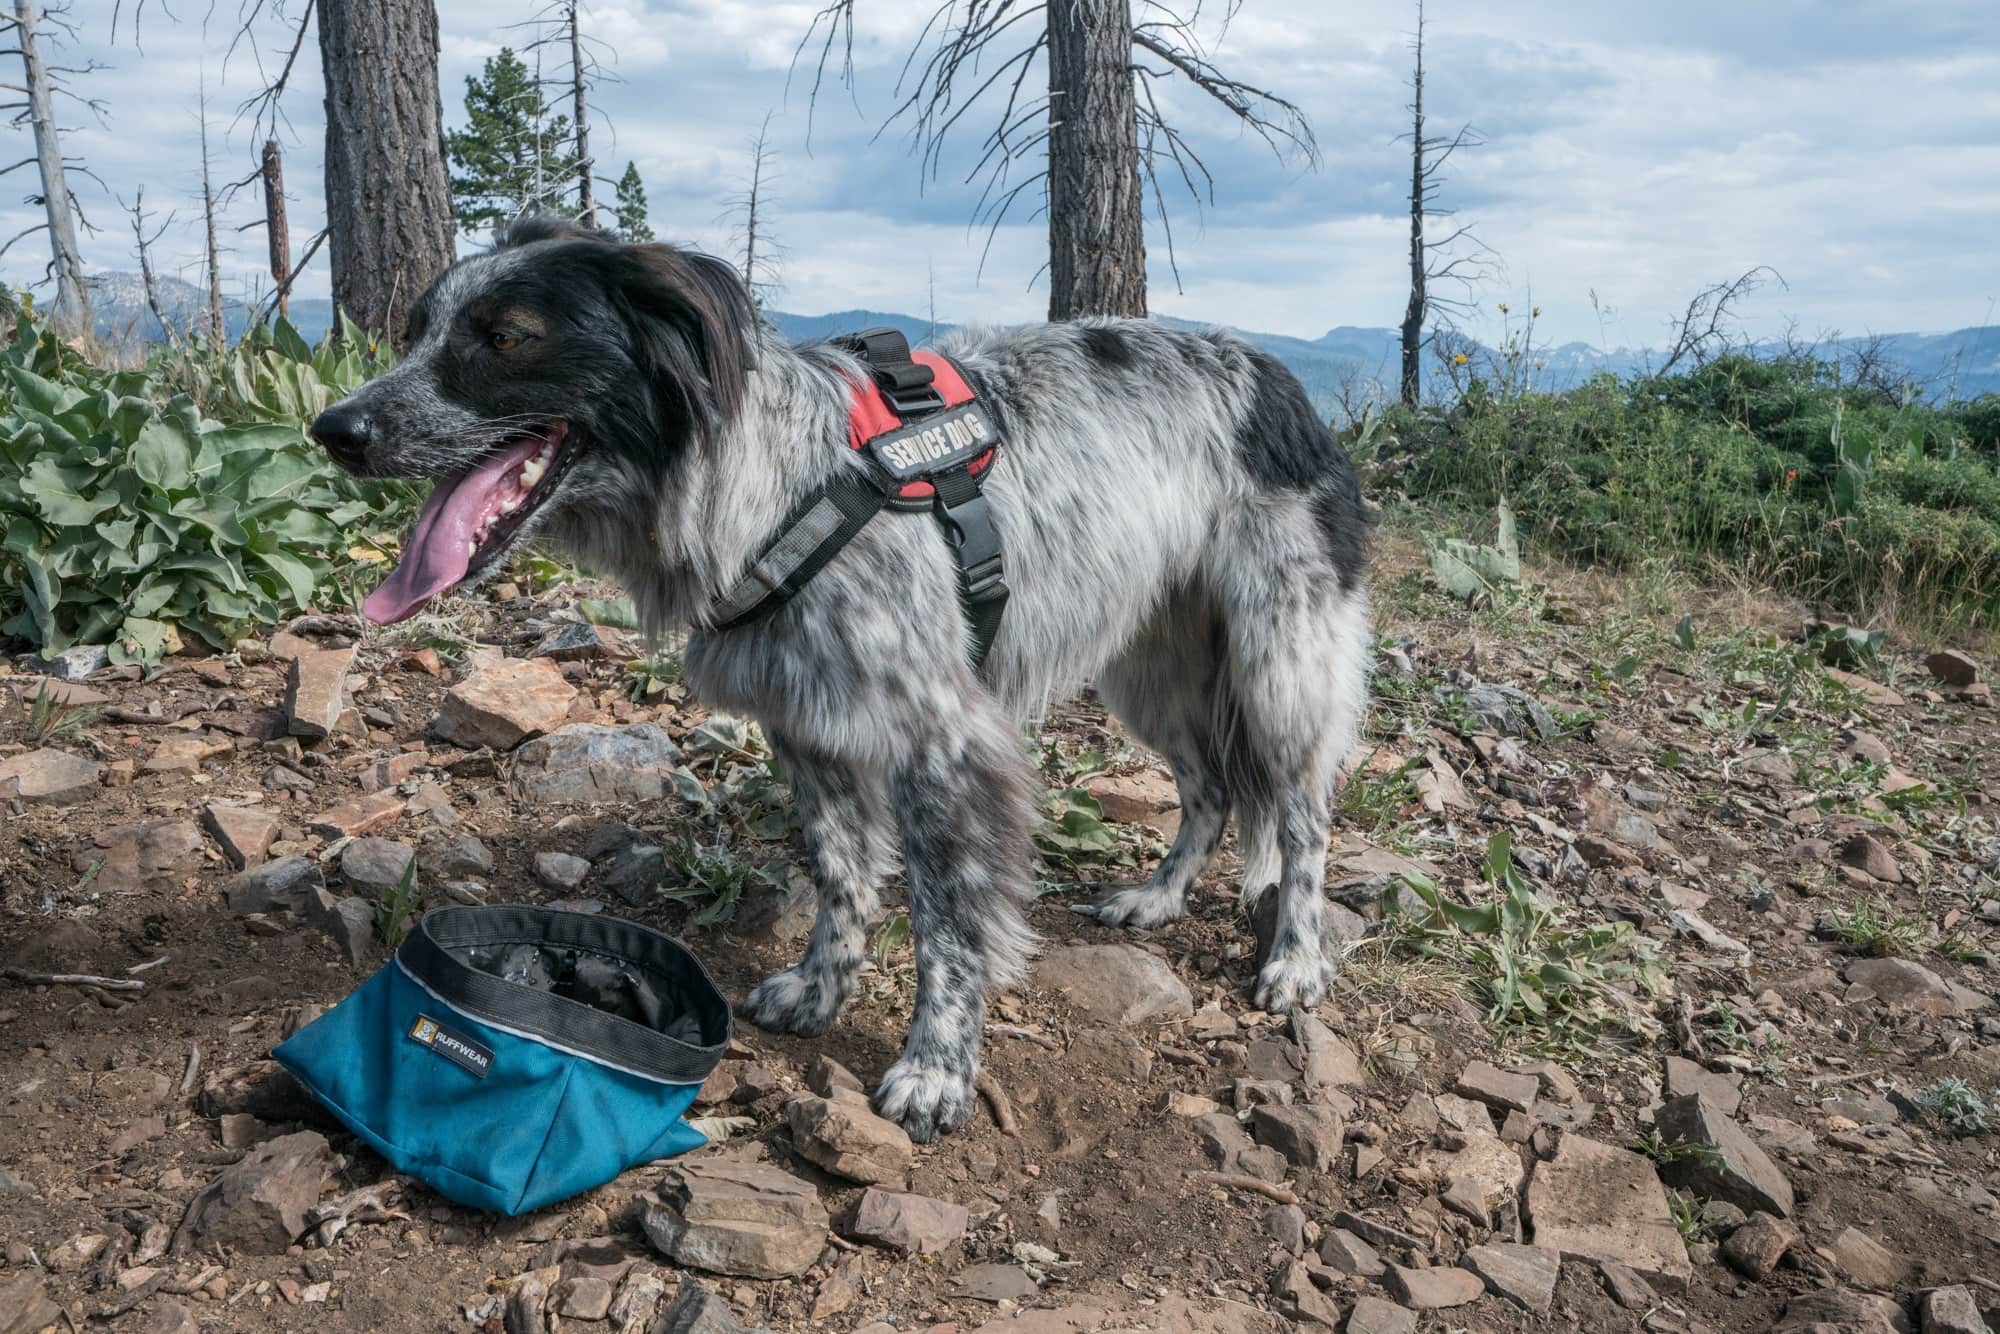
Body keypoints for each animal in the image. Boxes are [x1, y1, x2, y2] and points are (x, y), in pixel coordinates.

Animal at [312, 224, 1376, 1144]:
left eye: (507, 337)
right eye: (415, 332)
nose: (334, 429)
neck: (780, 489)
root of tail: (1277, 375)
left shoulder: (941, 745)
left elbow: (946, 929)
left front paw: (936, 1069)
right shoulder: (809, 726)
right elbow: (840, 879)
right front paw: (824, 991)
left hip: (1278, 664)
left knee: (1302, 816)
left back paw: (1294, 958)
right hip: (1150, 667)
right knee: (1210, 787)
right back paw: (1158, 897)